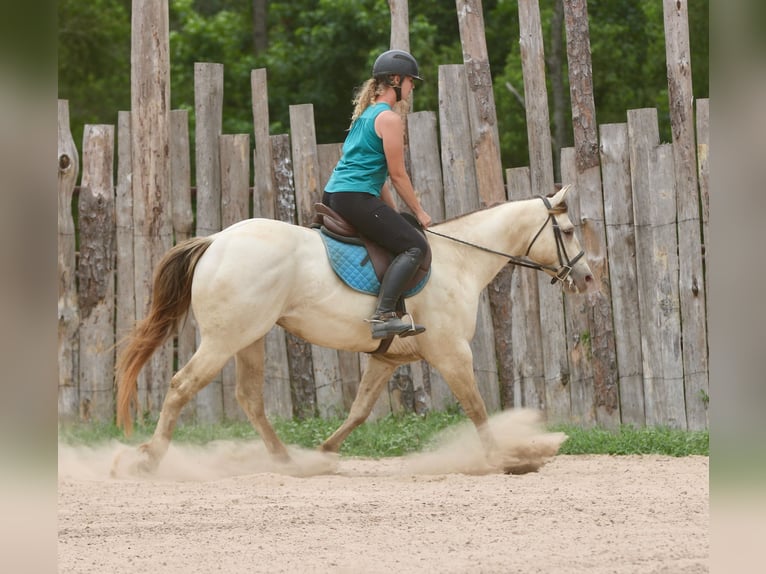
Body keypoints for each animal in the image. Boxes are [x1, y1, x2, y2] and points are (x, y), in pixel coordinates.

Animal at [114, 184, 596, 475]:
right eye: (568, 230)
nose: (587, 278)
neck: (460, 260)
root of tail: (216, 240)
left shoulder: (387, 359)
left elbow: (359, 411)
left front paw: (326, 452)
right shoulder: (452, 353)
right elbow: (476, 407)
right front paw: (504, 458)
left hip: (249, 338)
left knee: (249, 399)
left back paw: (288, 461)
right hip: (224, 339)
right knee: (181, 386)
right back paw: (150, 459)